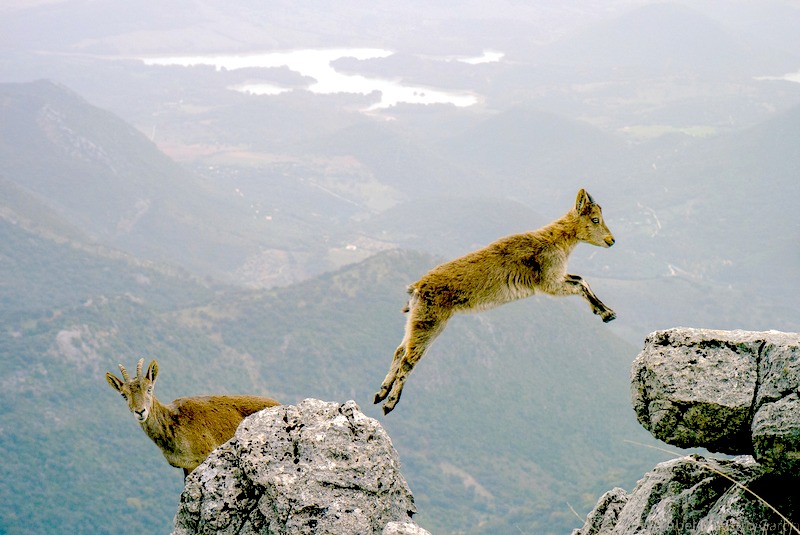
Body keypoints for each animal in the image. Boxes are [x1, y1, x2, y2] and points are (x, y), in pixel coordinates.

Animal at [106, 358, 280, 478]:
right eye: (124, 395)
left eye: (149, 388)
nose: (140, 411)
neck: (172, 422)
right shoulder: (186, 465)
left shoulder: (203, 458)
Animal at [374, 189, 616, 414]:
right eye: (595, 219)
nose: (611, 241)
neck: (556, 239)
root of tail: (416, 288)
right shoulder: (549, 282)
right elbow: (579, 284)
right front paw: (605, 313)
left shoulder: (558, 277)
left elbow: (581, 280)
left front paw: (607, 312)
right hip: (431, 322)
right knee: (408, 359)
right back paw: (389, 403)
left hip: (416, 319)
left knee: (399, 350)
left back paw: (380, 393)